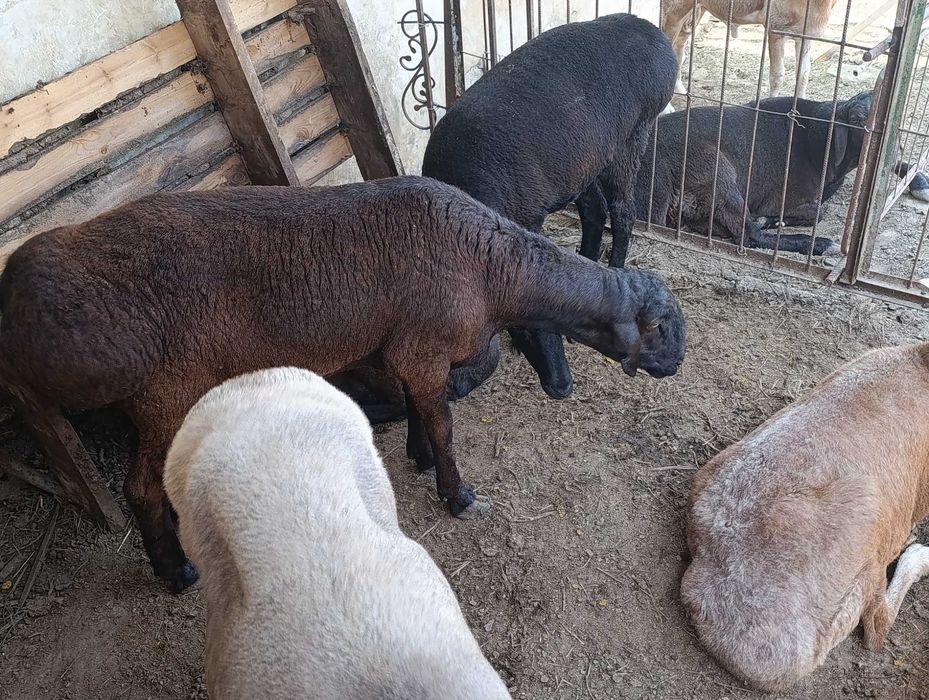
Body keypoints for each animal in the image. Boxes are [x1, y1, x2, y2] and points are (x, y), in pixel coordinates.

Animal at [0, 176, 687, 591]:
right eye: (663, 329)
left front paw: (415, 457)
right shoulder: (423, 345)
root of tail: (23, 297)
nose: (677, 367)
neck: (497, 274)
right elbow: (443, 421)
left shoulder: (406, 351)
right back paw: (176, 573)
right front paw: (457, 495)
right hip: (166, 387)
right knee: (139, 488)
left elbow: (424, 408)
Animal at [422, 12, 678, 400]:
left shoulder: (529, 218)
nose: (562, 386)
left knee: (622, 212)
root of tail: (652, 31)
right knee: (594, 211)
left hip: (633, 137)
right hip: (587, 161)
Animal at [631, 91, 873, 255]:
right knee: (748, 235)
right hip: (716, 168)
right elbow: (818, 213)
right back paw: (820, 244)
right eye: (856, 120)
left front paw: (770, 221)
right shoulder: (778, 200)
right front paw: (770, 220)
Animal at [661, 0, 839, 98]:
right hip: (675, 10)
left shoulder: (806, 37)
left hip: (695, 11)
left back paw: (679, 89)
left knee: (678, 49)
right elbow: (777, 77)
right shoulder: (775, 30)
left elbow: (803, 76)